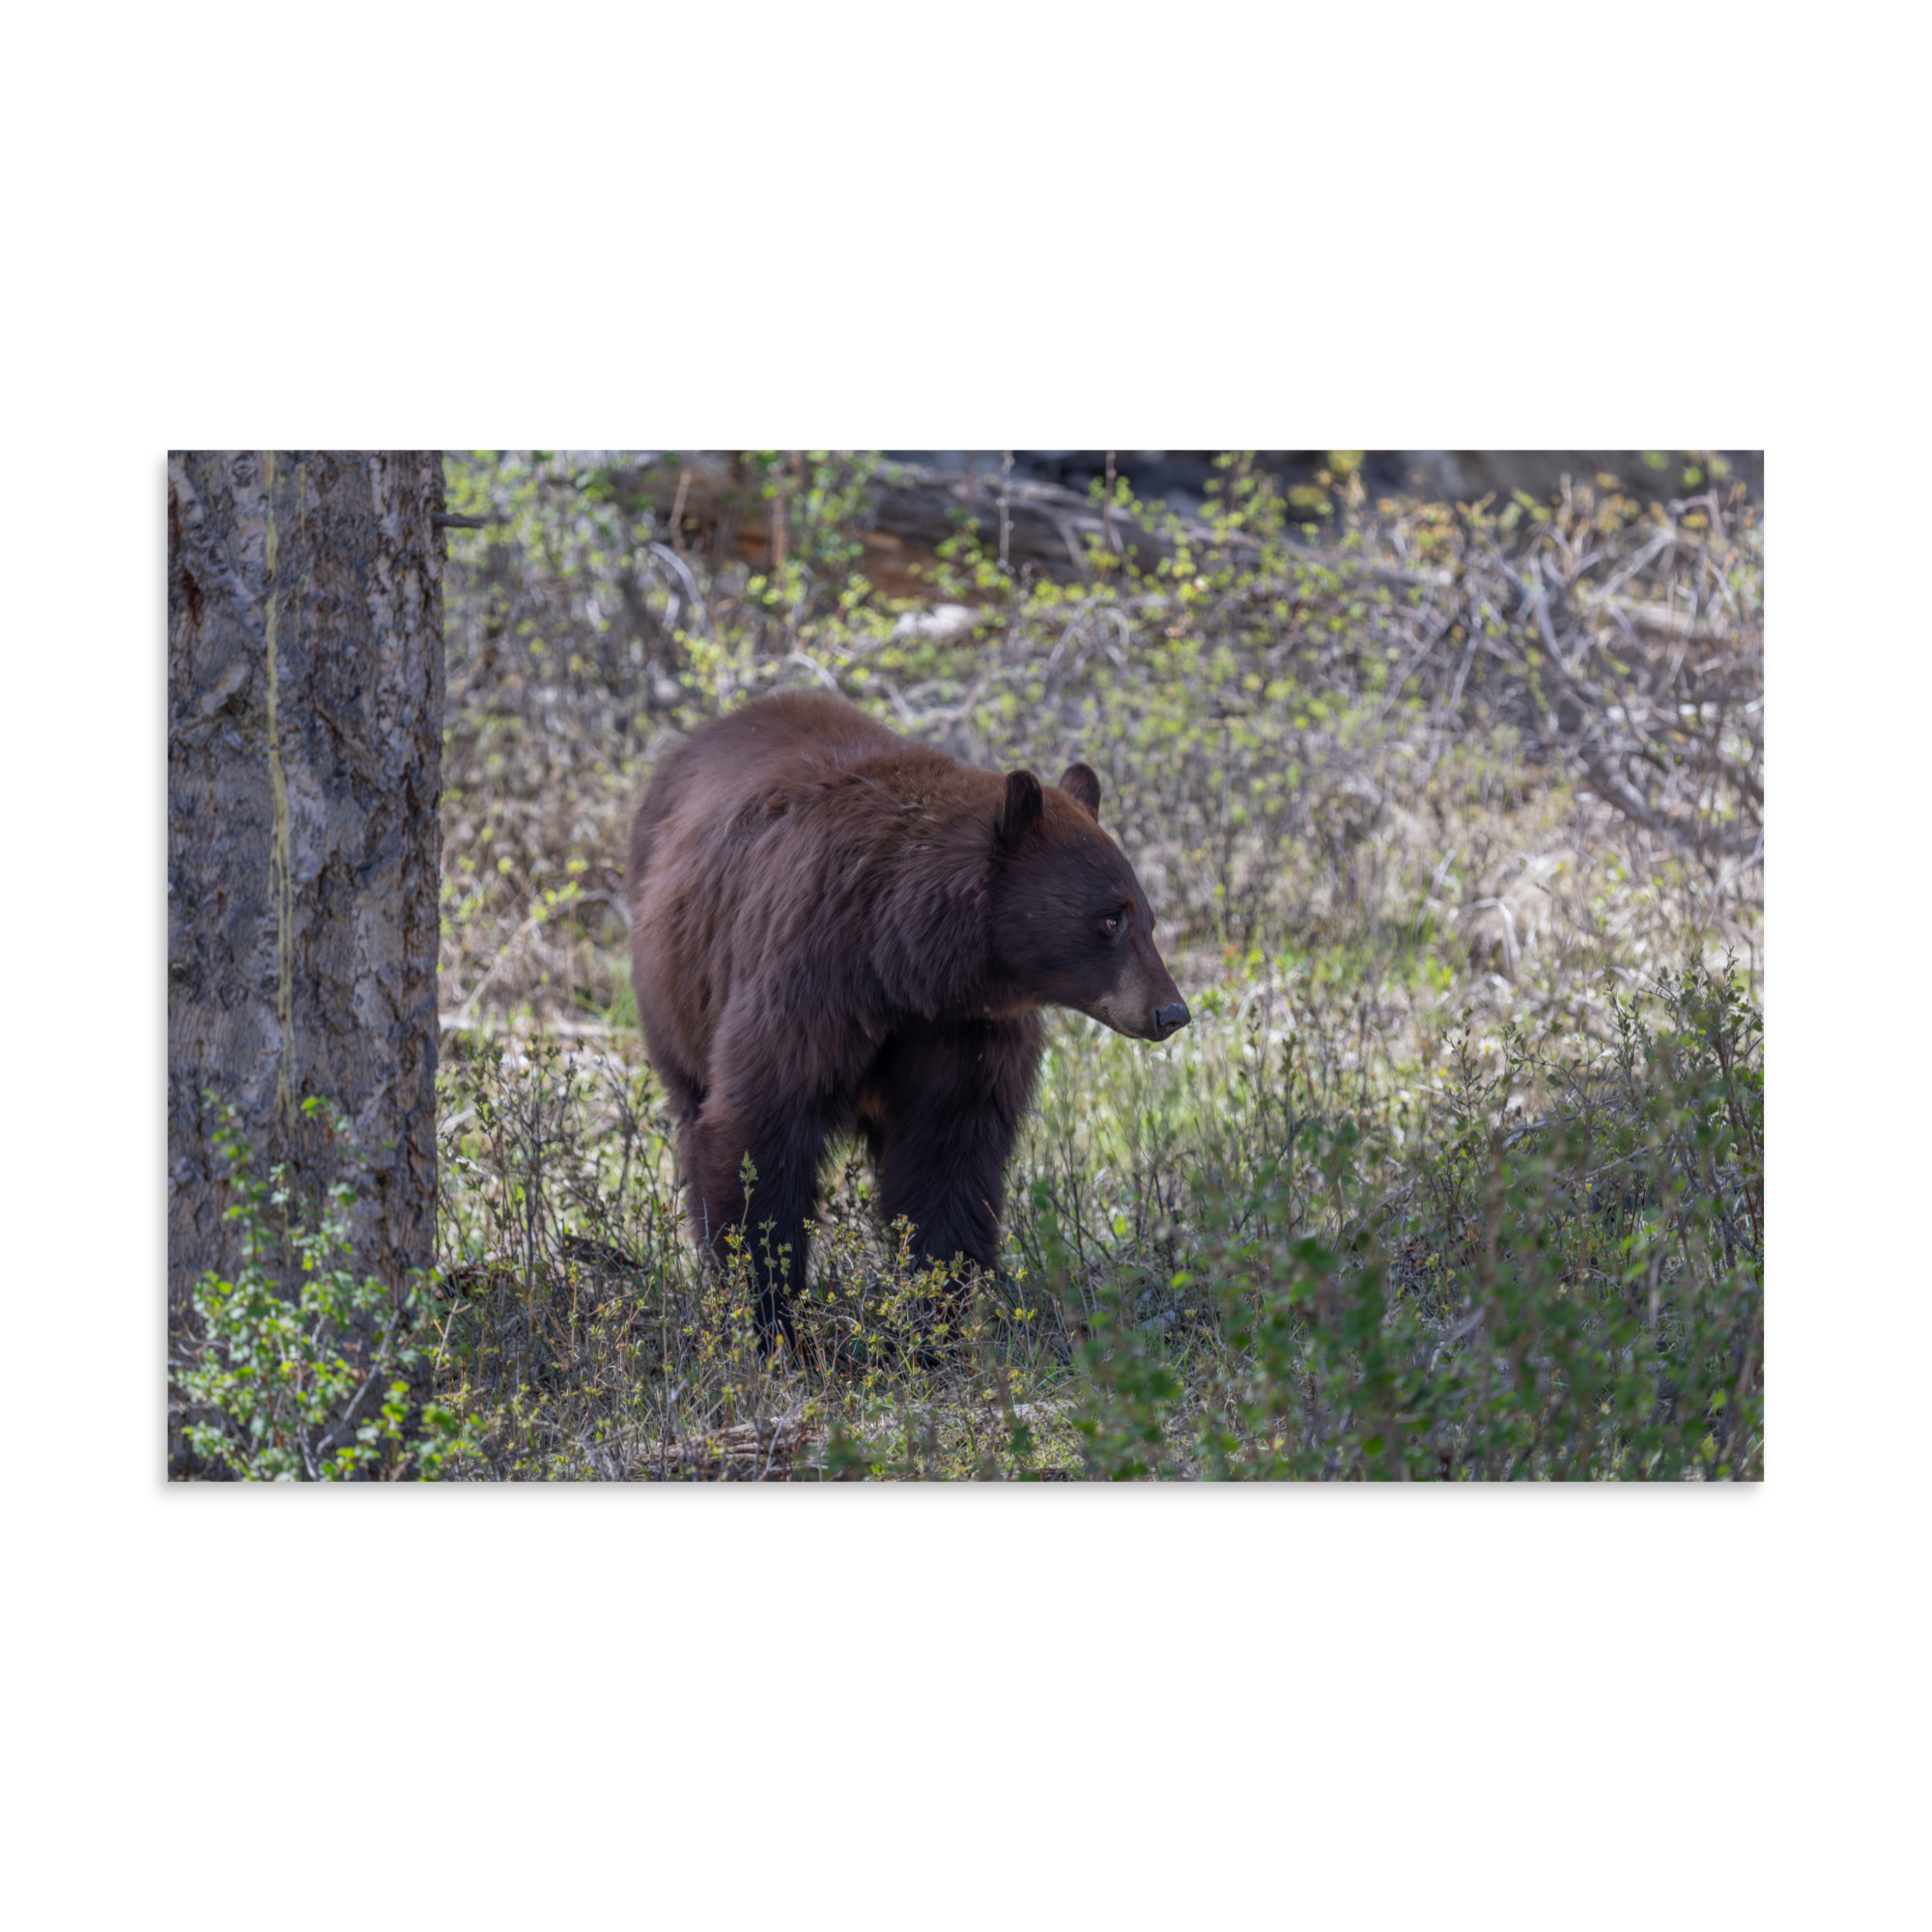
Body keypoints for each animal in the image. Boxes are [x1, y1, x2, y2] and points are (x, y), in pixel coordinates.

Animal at [625, 689, 1188, 1345]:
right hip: (675, 992)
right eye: (1110, 919)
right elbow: (760, 1129)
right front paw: (774, 1319)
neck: (903, 963)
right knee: (694, 1109)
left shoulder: (963, 1030)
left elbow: (948, 1155)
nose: (1171, 1011)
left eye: (1147, 917)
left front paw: (933, 1321)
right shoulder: (809, 980)